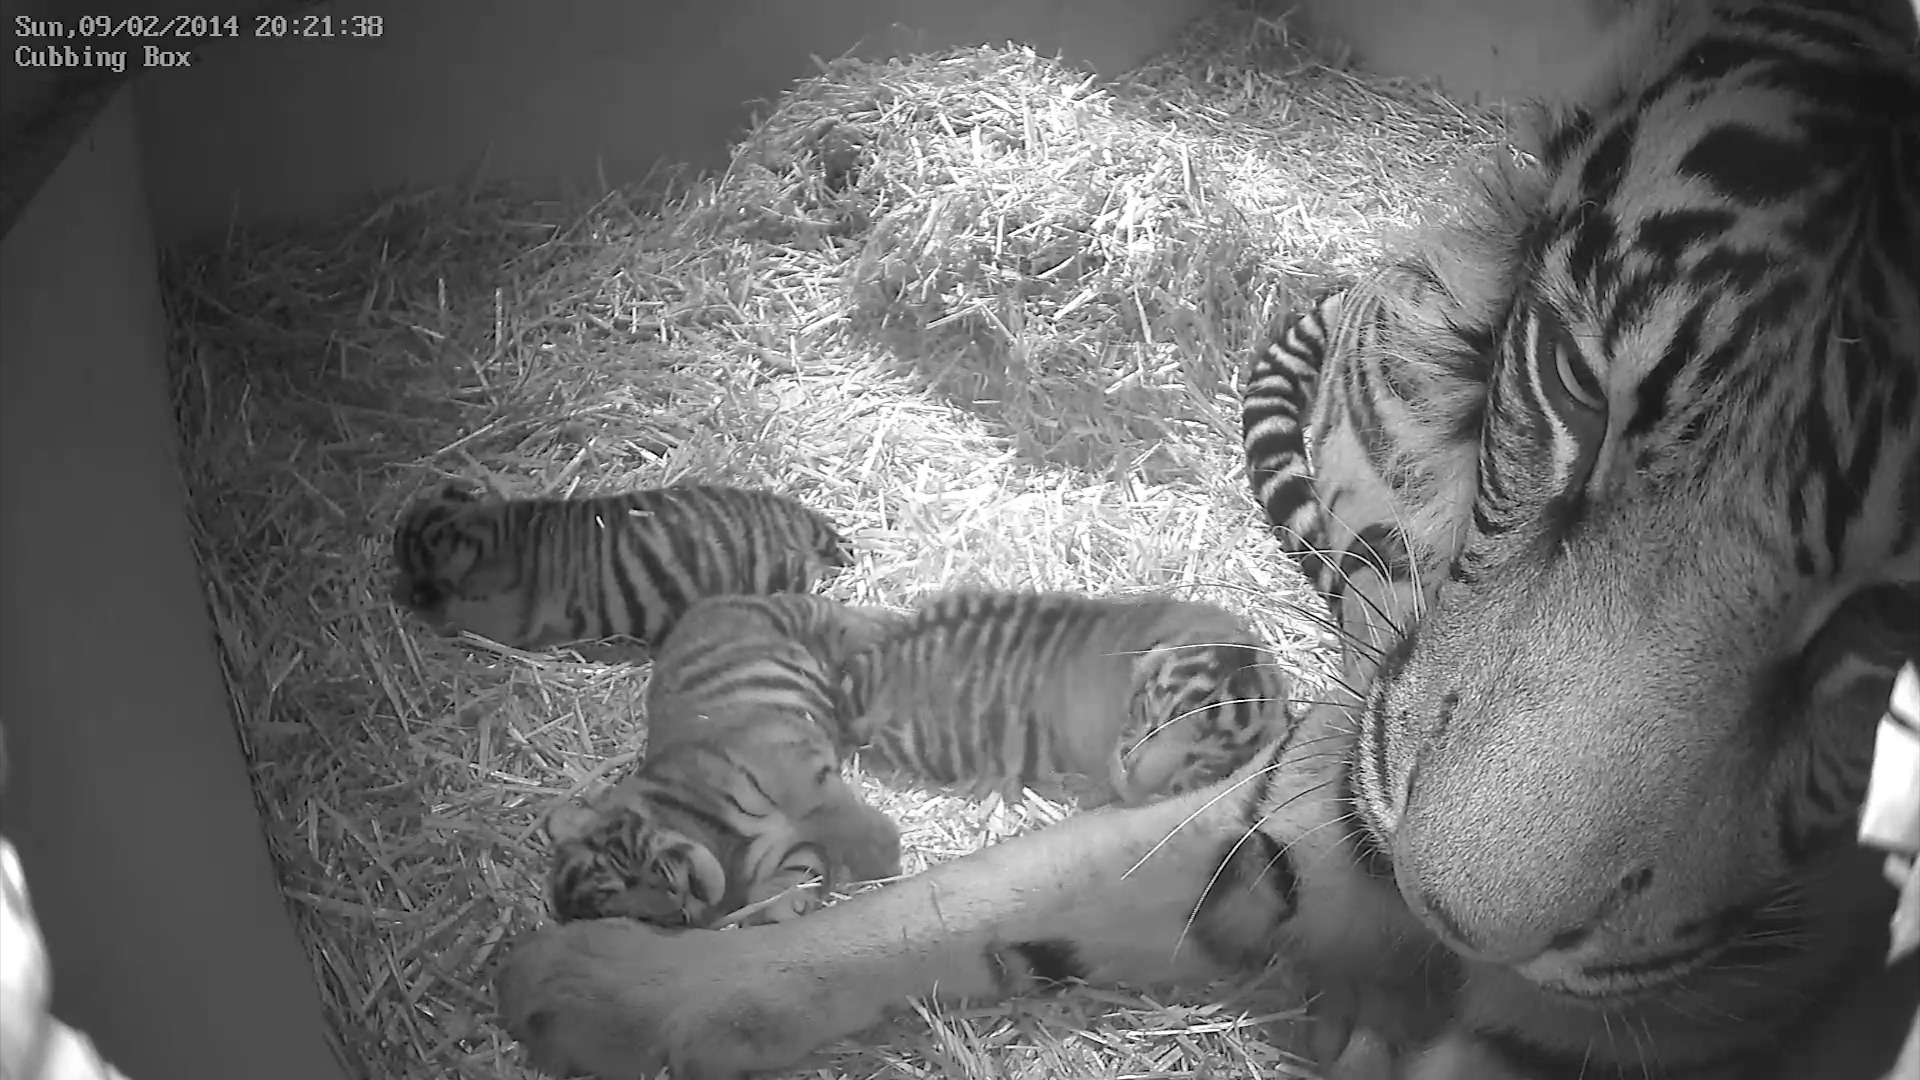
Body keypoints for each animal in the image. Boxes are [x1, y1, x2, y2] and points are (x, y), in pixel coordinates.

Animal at [544, 594, 904, 929]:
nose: (676, 906)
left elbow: (838, 814)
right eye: (637, 917)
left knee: (862, 625)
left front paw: (884, 853)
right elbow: (792, 878)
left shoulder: (784, 765)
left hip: (815, 621)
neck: (723, 844)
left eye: (622, 868)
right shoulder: (785, 849)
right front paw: (772, 912)